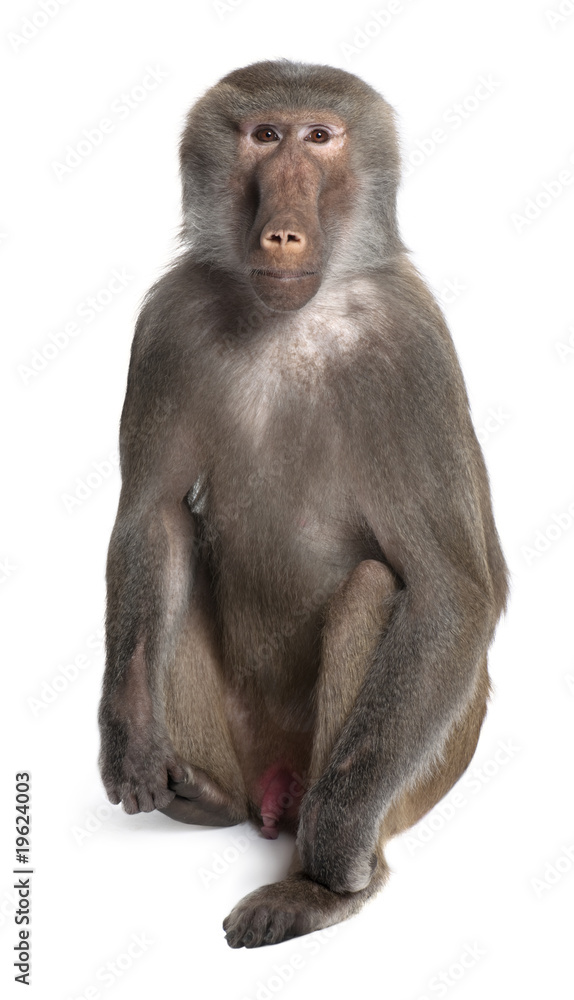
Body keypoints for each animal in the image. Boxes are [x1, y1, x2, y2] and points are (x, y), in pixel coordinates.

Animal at [98, 59, 508, 949]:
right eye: (264, 135)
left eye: (320, 137)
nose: (282, 233)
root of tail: (274, 790)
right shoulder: (169, 318)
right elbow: (149, 517)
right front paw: (126, 742)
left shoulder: (414, 349)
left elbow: (452, 592)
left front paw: (329, 863)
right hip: (241, 740)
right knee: (178, 543)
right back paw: (206, 797)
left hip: (422, 764)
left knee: (378, 589)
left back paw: (325, 875)